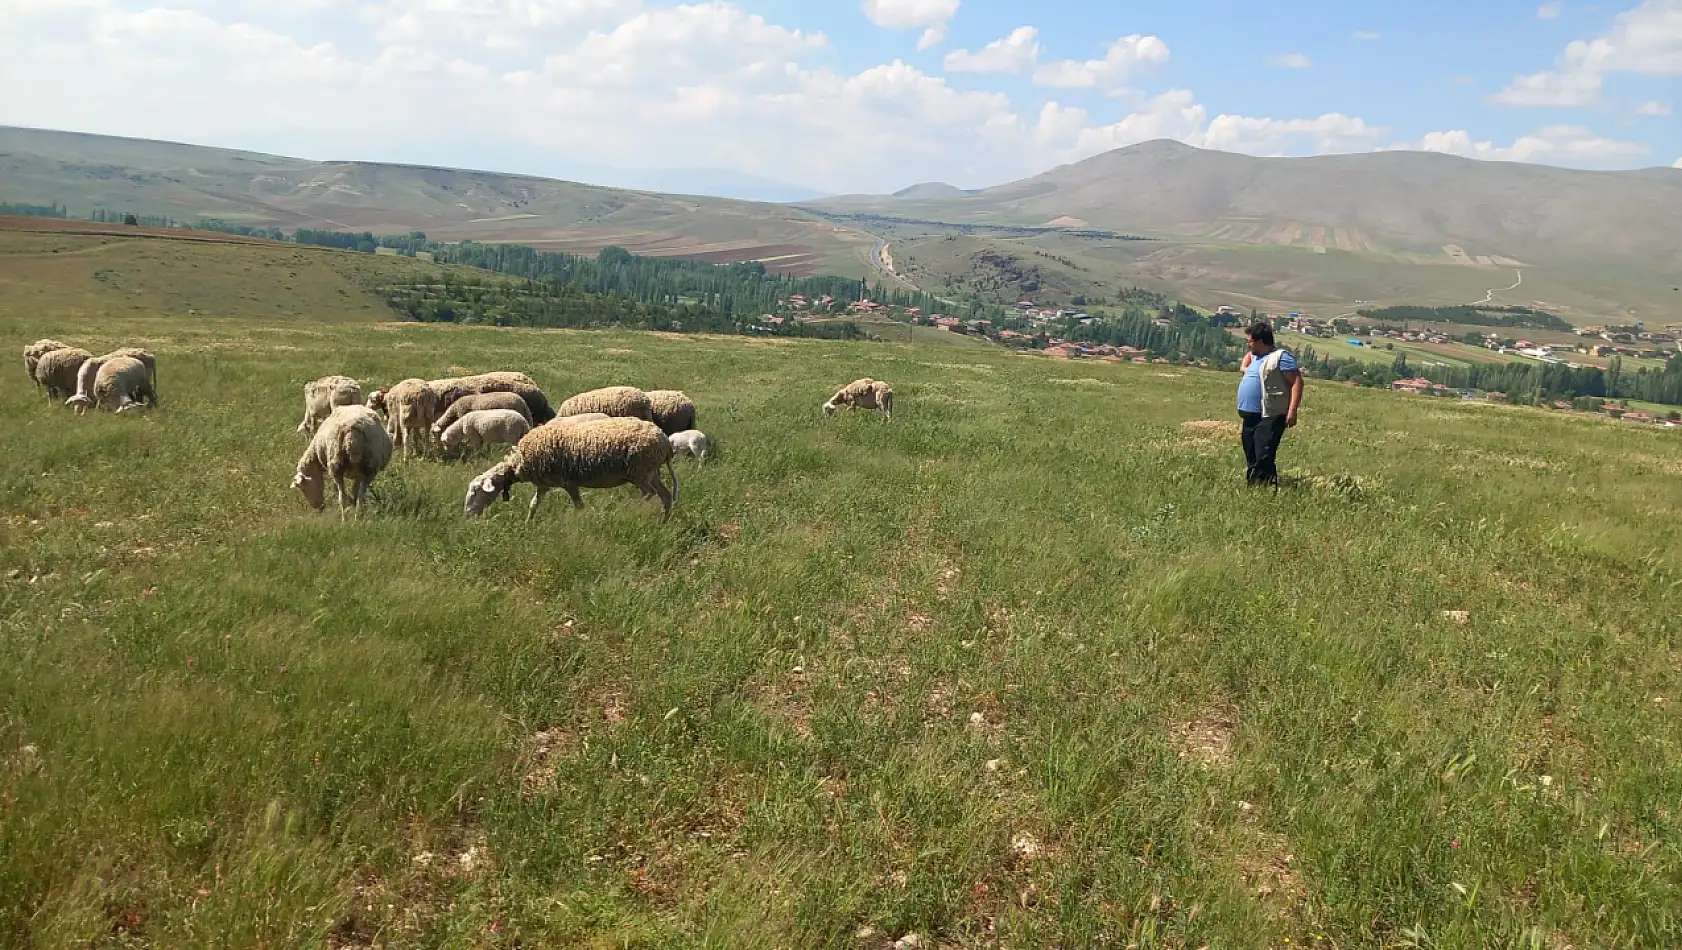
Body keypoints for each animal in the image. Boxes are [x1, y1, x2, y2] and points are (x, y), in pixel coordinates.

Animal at [464, 415, 679, 517]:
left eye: (476, 492)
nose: (467, 515)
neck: (519, 462)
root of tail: (664, 440)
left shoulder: (568, 482)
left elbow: (579, 506)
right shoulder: (543, 484)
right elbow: (533, 505)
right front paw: (528, 523)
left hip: (640, 472)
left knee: (650, 494)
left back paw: (630, 510)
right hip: (651, 472)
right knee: (665, 495)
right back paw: (664, 519)